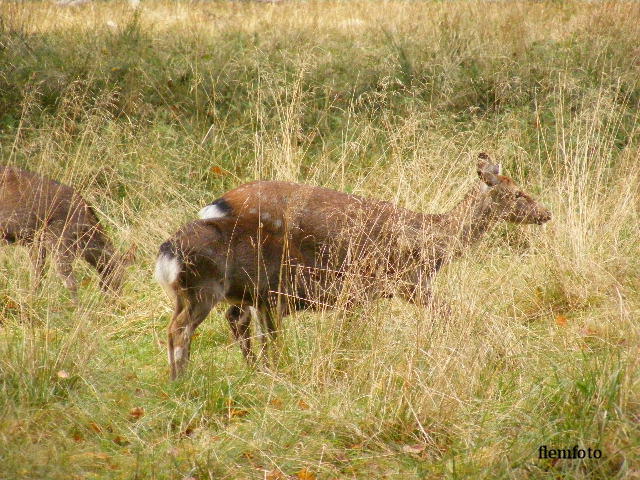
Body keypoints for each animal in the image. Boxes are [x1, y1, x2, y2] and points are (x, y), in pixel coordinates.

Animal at [0, 167, 135, 298]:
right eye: (120, 277)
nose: (117, 298)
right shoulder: (58, 237)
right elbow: (70, 282)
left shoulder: (35, 241)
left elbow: (38, 274)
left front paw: (33, 298)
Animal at [156, 154, 552, 378]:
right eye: (518, 193)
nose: (546, 213)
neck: (432, 240)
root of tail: (216, 204)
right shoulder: (400, 283)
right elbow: (452, 314)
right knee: (206, 325)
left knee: (234, 322)